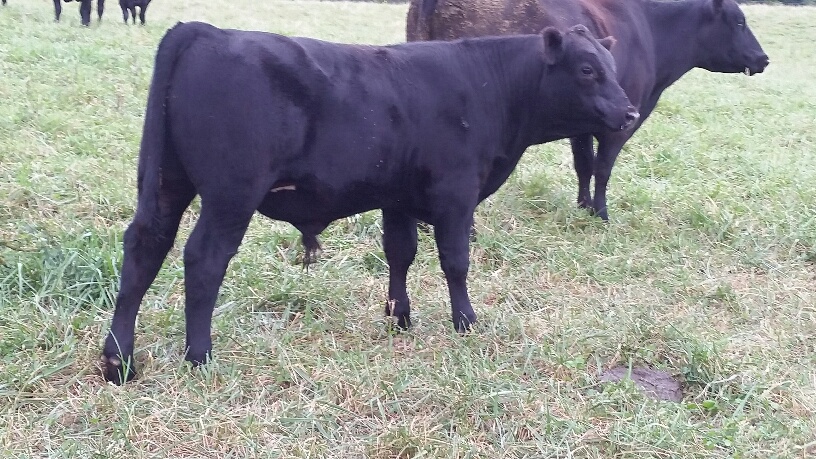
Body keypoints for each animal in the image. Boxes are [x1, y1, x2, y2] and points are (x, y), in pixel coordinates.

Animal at [100, 20, 636, 384]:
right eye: (587, 70)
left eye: (613, 69)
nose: (630, 112)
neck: (489, 85)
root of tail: (204, 30)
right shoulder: (456, 194)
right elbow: (455, 261)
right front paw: (465, 322)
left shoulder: (398, 197)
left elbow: (400, 253)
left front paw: (399, 317)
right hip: (231, 195)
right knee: (203, 260)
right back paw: (199, 354)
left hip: (166, 183)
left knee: (144, 250)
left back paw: (117, 359)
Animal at [412, 0, 768, 221]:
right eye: (739, 22)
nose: (763, 58)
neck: (651, 32)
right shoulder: (620, 123)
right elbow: (603, 168)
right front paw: (601, 213)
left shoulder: (583, 124)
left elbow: (583, 165)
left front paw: (583, 207)